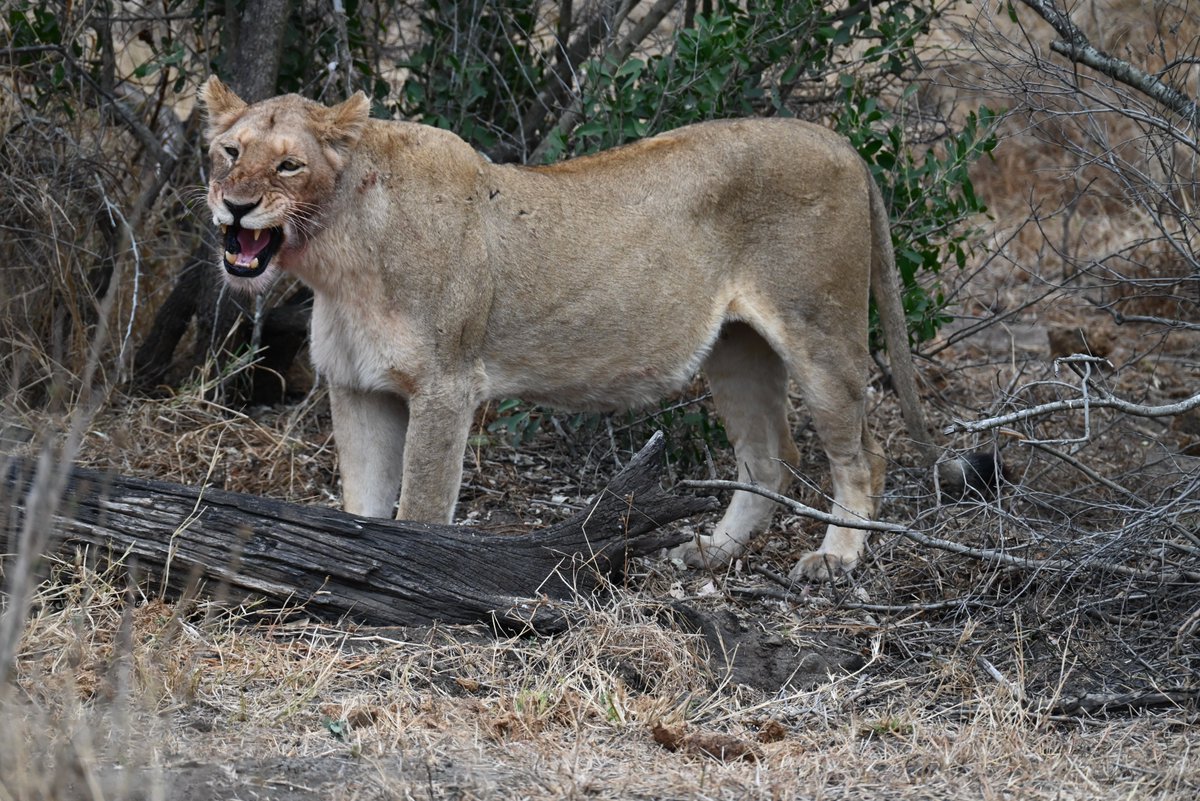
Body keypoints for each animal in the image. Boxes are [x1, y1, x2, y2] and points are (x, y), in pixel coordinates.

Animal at [200, 76, 930, 580]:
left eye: (289, 164)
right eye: (228, 151)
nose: (235, 205)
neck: (339, 256)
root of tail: (840, 142)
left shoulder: (445, 386)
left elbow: (422, 506)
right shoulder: (357, 387)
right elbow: (365, 505)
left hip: (820, 333)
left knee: (863, 456)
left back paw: (835, 558)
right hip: (736, 349)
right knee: (770, 456)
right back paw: (710, 552)